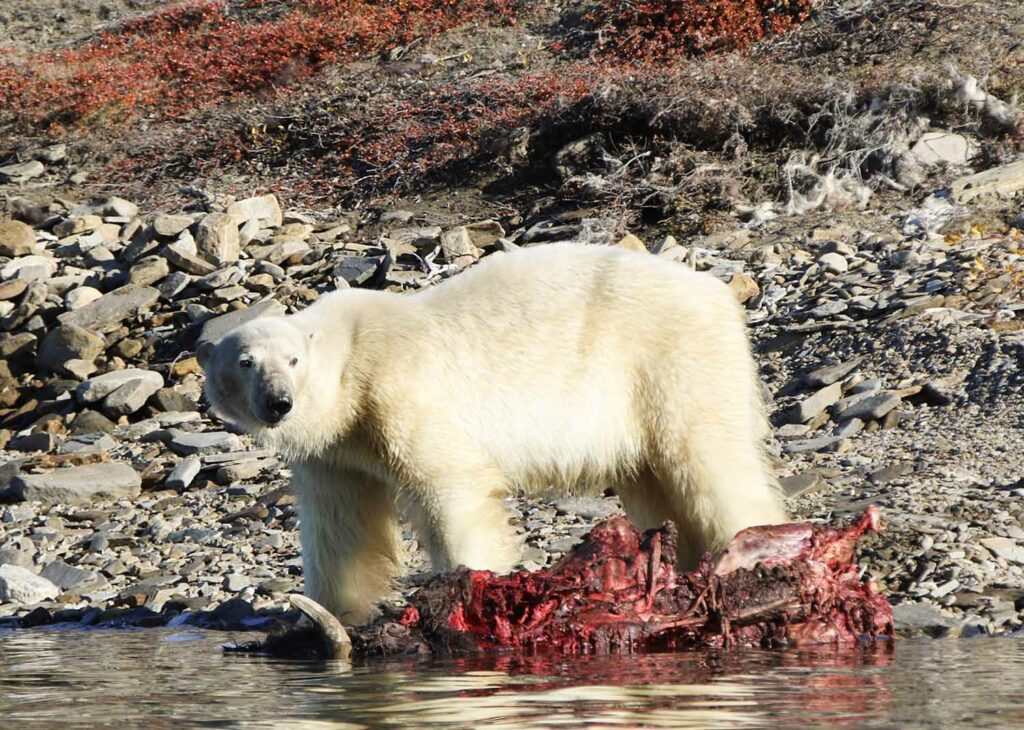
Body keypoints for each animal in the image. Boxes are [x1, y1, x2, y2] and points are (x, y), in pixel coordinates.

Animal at [201, 243, 790, 622]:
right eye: (246, 362)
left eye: (293, 360)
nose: (278, 403)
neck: (351, 354)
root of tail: (719, 295)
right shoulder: (335, 450)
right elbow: (342, 527)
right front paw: (329, 615)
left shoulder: (397, 387)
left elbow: (451, 486)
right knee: (655, 484)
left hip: (671, 358)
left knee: (707, 458)